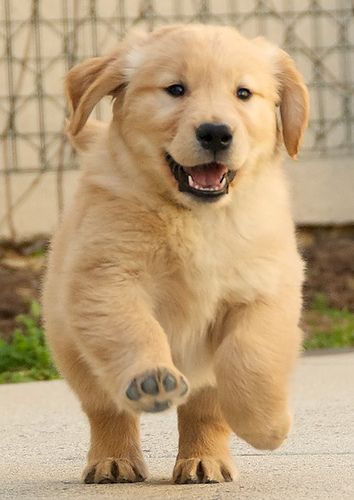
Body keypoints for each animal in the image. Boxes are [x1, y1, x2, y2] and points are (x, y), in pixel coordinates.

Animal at [40, 24, 306, 484]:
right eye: (175, 89)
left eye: (243, 93)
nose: (215, 132)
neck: (198, 217)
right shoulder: (106, 280)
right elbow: (136, 331)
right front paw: (152, 379)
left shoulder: (268, 287)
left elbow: (249, 355)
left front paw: (266, 424)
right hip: (72, 347)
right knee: (107, 410)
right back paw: (114, 461)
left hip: (204, 378)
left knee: (205, 412)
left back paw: (205, 462)